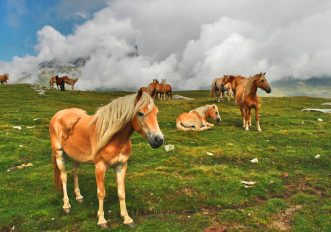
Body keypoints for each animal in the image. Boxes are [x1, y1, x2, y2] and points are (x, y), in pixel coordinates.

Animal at [48, 89, 165, 227]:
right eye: (140, 113)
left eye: (156, 112)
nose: (159, 140)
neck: (113, 138)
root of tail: (58, 114)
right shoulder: (100, 166)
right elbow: (101, 193)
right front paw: (101, 220)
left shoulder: (121, 166)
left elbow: (121, 192)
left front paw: (126, 218)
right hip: (59, 154)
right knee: (64, 177)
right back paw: (66, 205)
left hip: (76, 156)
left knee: (75, 173)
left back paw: (79, 196)